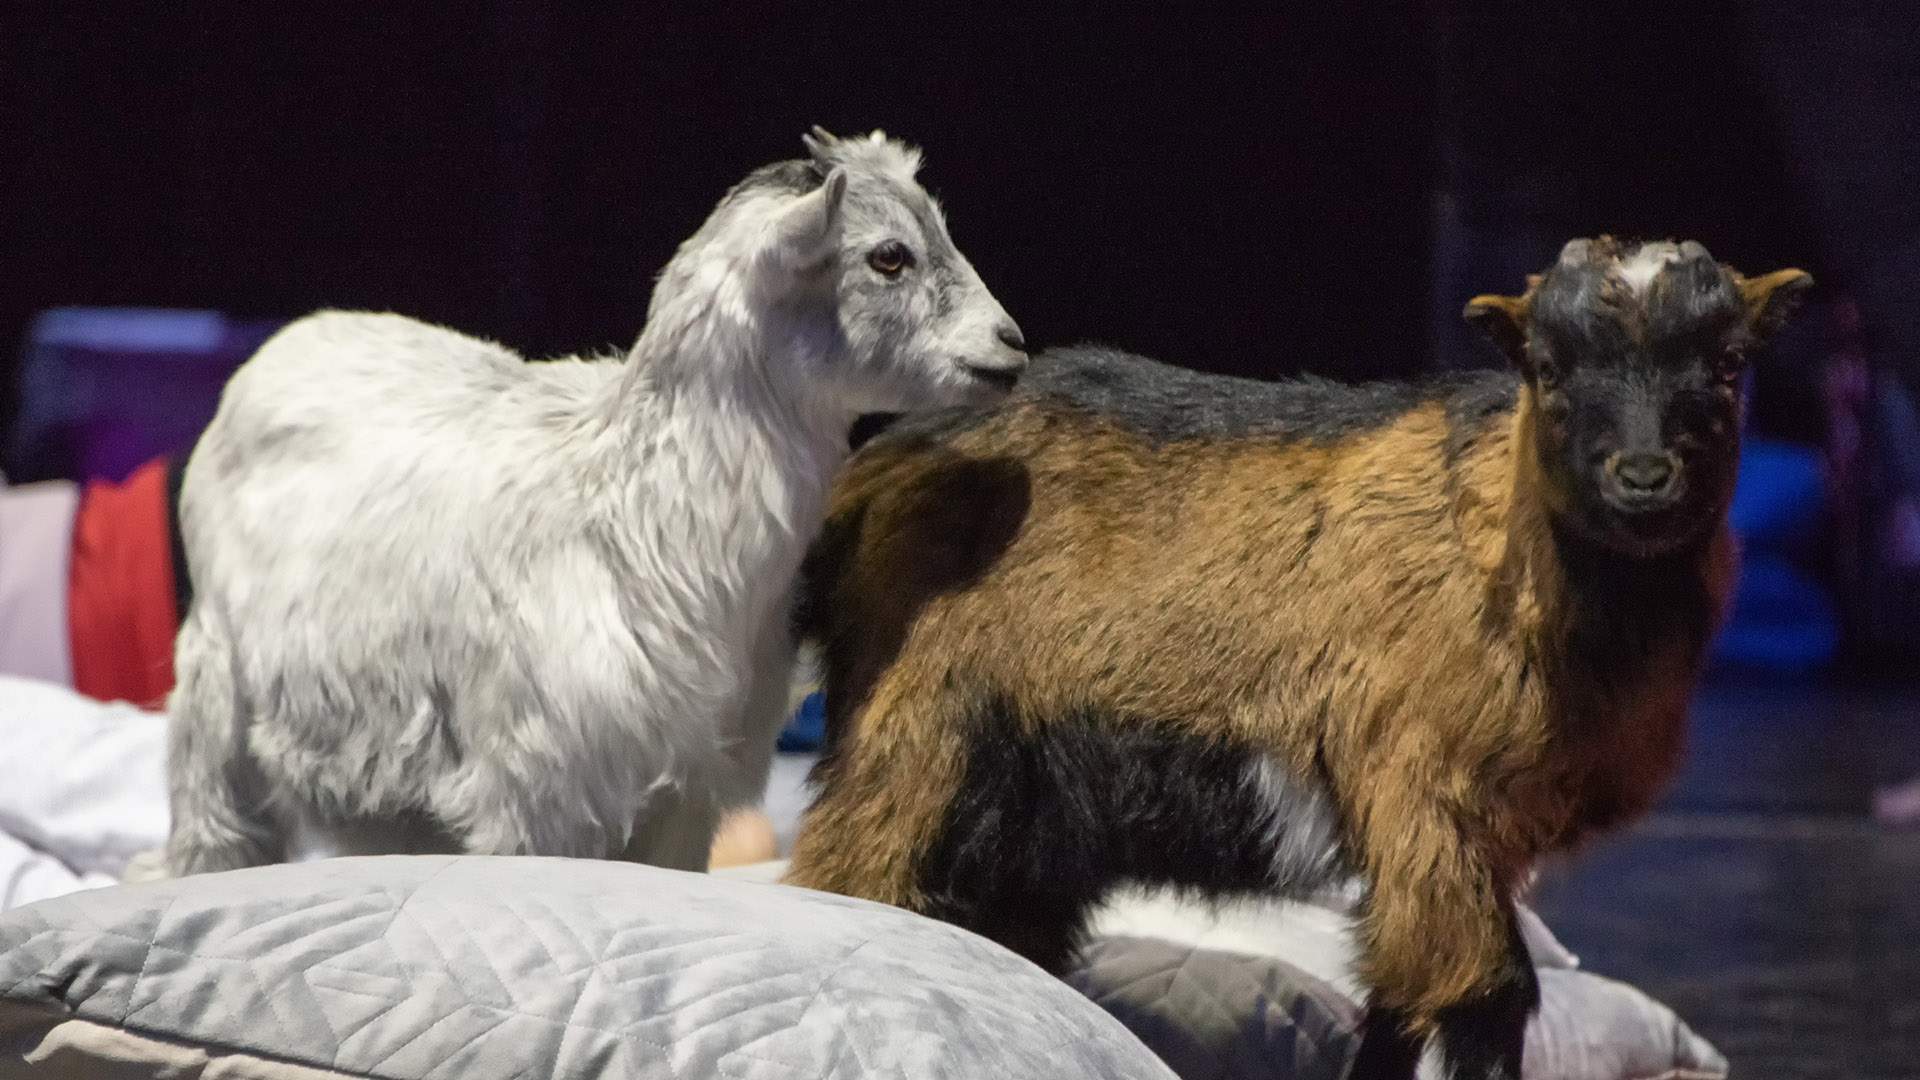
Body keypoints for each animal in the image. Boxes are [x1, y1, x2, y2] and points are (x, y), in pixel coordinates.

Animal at [167, 127, 1036, 876]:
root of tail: (292, 339)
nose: (1013, 344)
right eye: (889, 257)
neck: (638, 517)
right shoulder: (535, 792)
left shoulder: (687, 793)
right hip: (216, 708)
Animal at [775, 237, 1797, 1076]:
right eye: (1548, 369)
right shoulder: (1420, 786)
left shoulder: (1471, 832)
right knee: (851, 881)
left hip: (1027, 821)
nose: (1644, 478)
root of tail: (878, 467)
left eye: (1728, 367)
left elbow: (1400, 998)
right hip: (915, 737)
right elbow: (1485, 993)